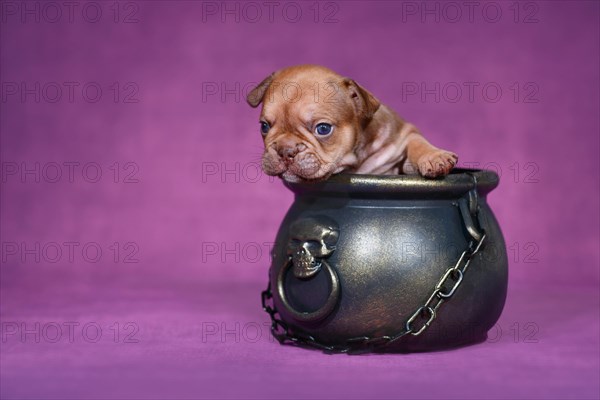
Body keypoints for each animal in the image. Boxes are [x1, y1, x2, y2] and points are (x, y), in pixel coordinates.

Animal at [246, 65, 458, 183]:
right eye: (264, 126)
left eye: (323, 129)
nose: (285, 150)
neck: (355, 163)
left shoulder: (402, 135)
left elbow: (416, 141)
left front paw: (435, 157)